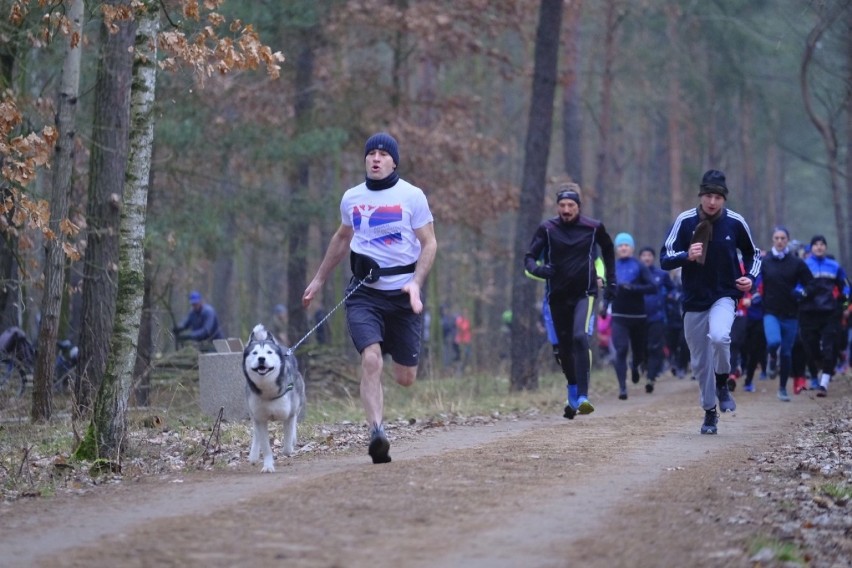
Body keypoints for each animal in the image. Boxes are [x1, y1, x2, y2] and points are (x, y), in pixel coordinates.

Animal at [243, 324, 306, 470]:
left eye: (269, 352)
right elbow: (265, 446)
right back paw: (253, 455)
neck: (268, 392)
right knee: (256, 433)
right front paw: (267, 466)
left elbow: (287, 447)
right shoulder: (260, 418)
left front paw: (289, 448)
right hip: (253, 413)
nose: (261, 358)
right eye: (254, 353)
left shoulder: (289, 415)